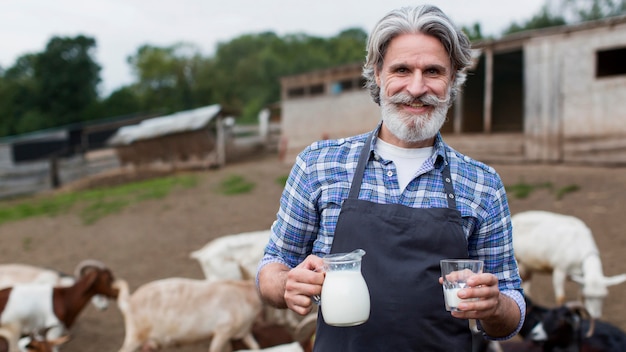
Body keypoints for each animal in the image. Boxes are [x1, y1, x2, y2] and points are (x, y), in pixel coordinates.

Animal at [115, 278, 264, 352]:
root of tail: (129, 300)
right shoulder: (223, 331)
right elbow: (214, 349)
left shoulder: (243, 331)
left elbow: (255, 347)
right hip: (135, 335)